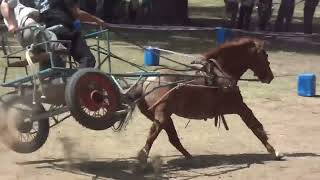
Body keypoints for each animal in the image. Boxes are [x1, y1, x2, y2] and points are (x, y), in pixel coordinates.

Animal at [129, 37, 282, 165]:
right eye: (265, 56)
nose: (270, 77)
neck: (221, 73)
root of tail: (147, 80)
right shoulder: (240, 107)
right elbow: (255, 127)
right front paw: (273, 151)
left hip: (164, 118)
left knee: (173, 138)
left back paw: (190, 158)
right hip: (162, 116)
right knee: (153, 136)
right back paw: (143, 160)